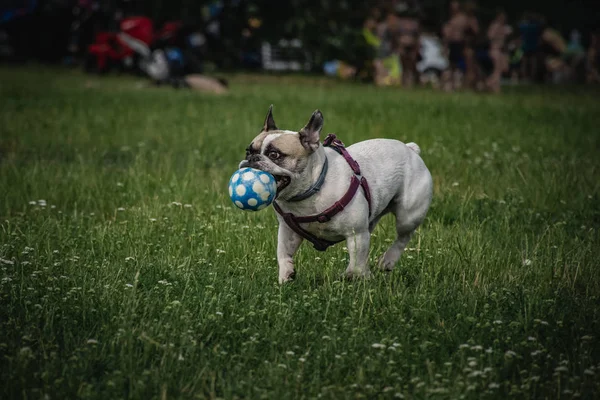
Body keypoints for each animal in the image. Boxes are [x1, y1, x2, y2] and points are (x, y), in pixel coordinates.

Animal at [239, 104, 432, 282]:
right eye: (248, 151)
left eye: (274, 154)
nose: (252, 158)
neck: (311, 190)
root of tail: (410, 150)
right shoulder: (288, 231)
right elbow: (283, 253)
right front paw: (286, 275)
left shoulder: (356, 234)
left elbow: (355, 265)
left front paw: (353, 276)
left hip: (408, 215)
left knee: (403, 236)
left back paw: (387, 260)